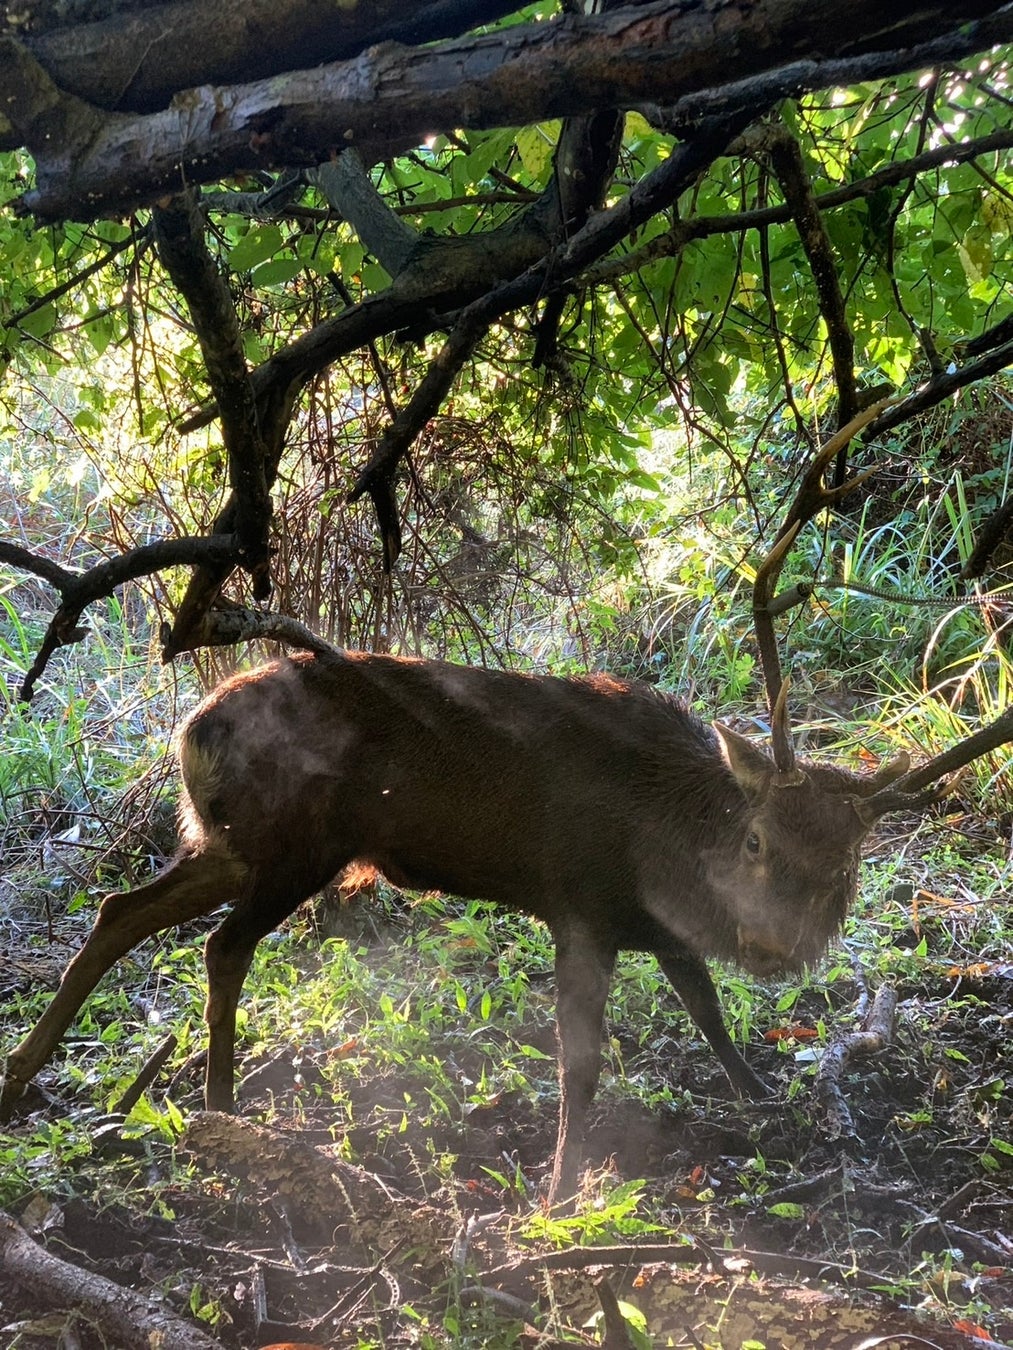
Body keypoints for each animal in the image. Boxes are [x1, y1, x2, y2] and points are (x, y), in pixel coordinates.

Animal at [5, 642, 1010, 1204]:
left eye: (844, 864)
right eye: (757, 838)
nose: (773, 947)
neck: (669, 845)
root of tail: (190, 730)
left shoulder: (654, 929)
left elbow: (706, 1008)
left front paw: (758, 1092)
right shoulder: (580, 906)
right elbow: (581, 1063)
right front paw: (559, 1191)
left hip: (229, 840)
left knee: (122, 910)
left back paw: (27, 1072)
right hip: (293, 844)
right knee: (221, 943)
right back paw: (218, 1101)